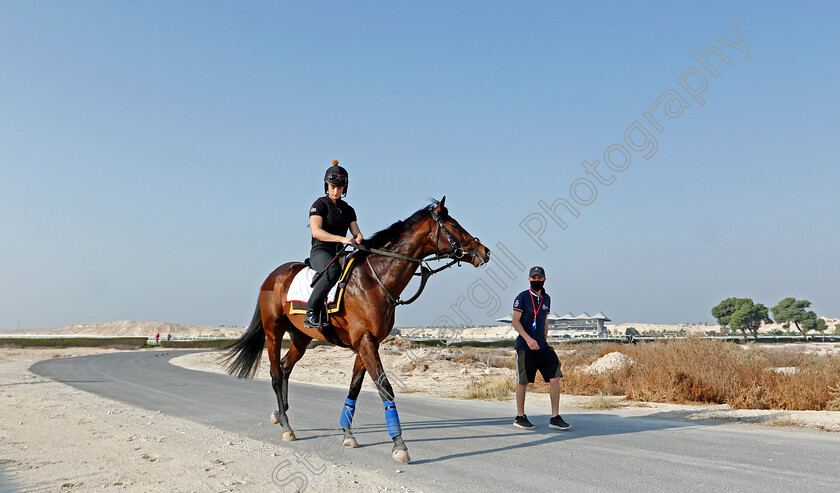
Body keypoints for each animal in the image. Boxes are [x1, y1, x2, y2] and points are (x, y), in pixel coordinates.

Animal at [223, 196, 488, 462]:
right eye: (453, 225)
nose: (484, 251)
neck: (375, 279)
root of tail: (272, 276)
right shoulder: (365, 341)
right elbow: (385, 388)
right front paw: (399, 444)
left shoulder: (367, 343)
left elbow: (354, 388)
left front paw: (347, 434)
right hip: (274, 332)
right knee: (276, 373)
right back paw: (287, 426)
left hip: (301, 338)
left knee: (286, 367)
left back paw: (280, 414)